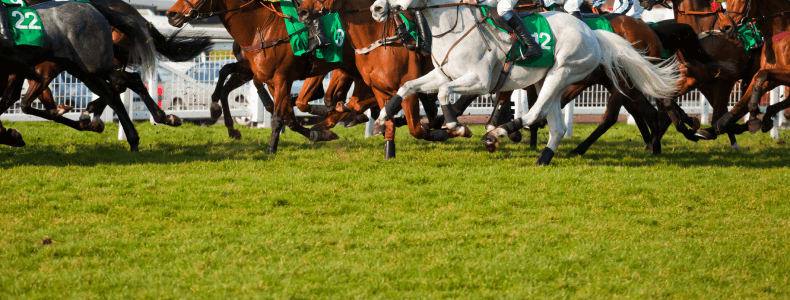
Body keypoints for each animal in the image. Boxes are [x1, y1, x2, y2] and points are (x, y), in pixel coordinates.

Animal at [372, 0, 680, 165]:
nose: (376, 7)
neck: (455, 28)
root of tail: (593, 33)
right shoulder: (443, 74)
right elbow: (407, 87)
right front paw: (382, 119)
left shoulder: (480, 81)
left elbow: (446, 94)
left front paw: (456, 126)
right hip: (551, 81)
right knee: (556, 126)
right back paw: (543, 157)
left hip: (562, 72)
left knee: (534, 114)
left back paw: (498, 133)